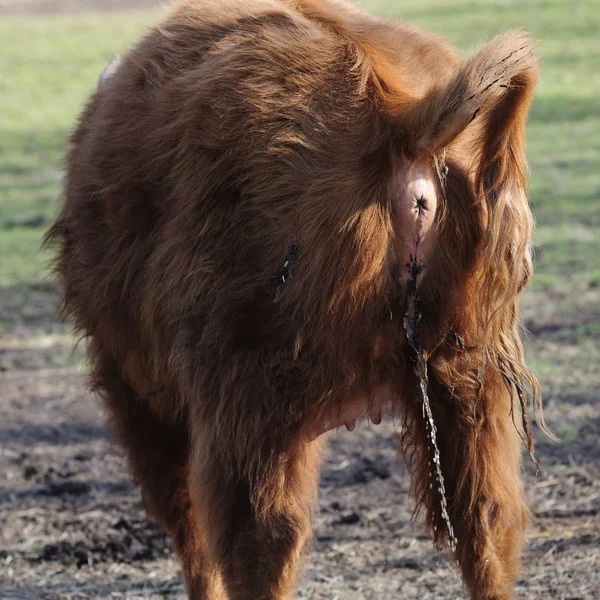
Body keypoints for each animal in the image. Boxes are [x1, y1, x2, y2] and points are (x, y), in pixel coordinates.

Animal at [44, 0, 548, 596]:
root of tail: (399, 116)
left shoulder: (140, 385)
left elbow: (189, 524)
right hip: (469, 372)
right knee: (487, 521)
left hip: (245, 390)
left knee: (254, 535)